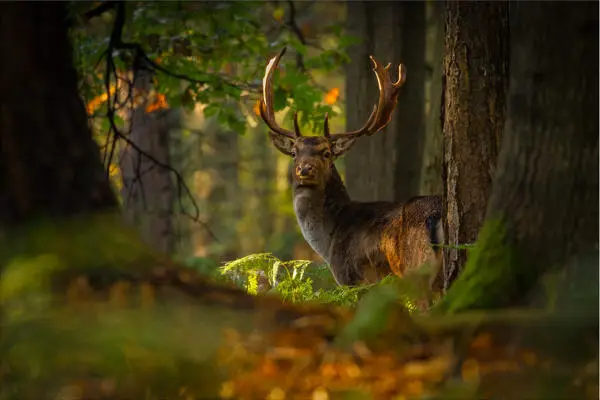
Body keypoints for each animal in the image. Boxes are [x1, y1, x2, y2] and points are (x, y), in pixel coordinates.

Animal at [260, 48, 442, 292]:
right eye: (294, 152)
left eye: (326, 153)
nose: (304, 169)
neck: (330, 241)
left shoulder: (353, 279)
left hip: (416, 268)